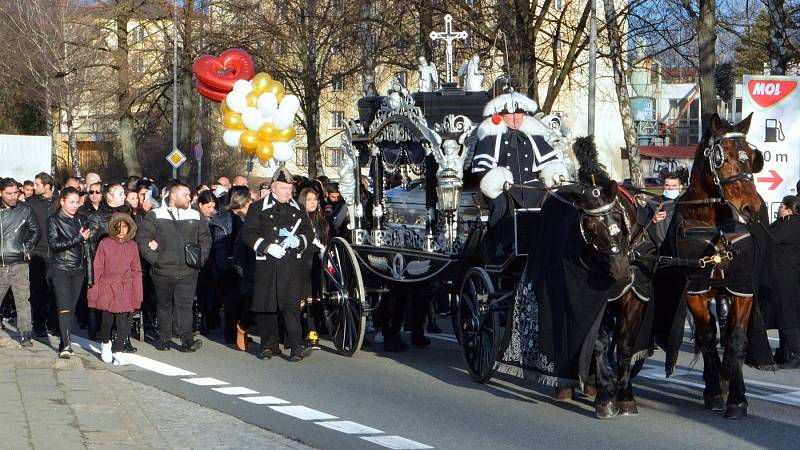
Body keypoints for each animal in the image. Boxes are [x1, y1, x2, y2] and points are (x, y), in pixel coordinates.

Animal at [664, 112, 776, 418]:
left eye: (750, 156)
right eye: (720, 157)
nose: (751, 206)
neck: (714, 225)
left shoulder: (741, 289)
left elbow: (735, 338)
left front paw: (736, 398)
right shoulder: (696, 291)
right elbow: (705, 336)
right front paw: (714, 392)